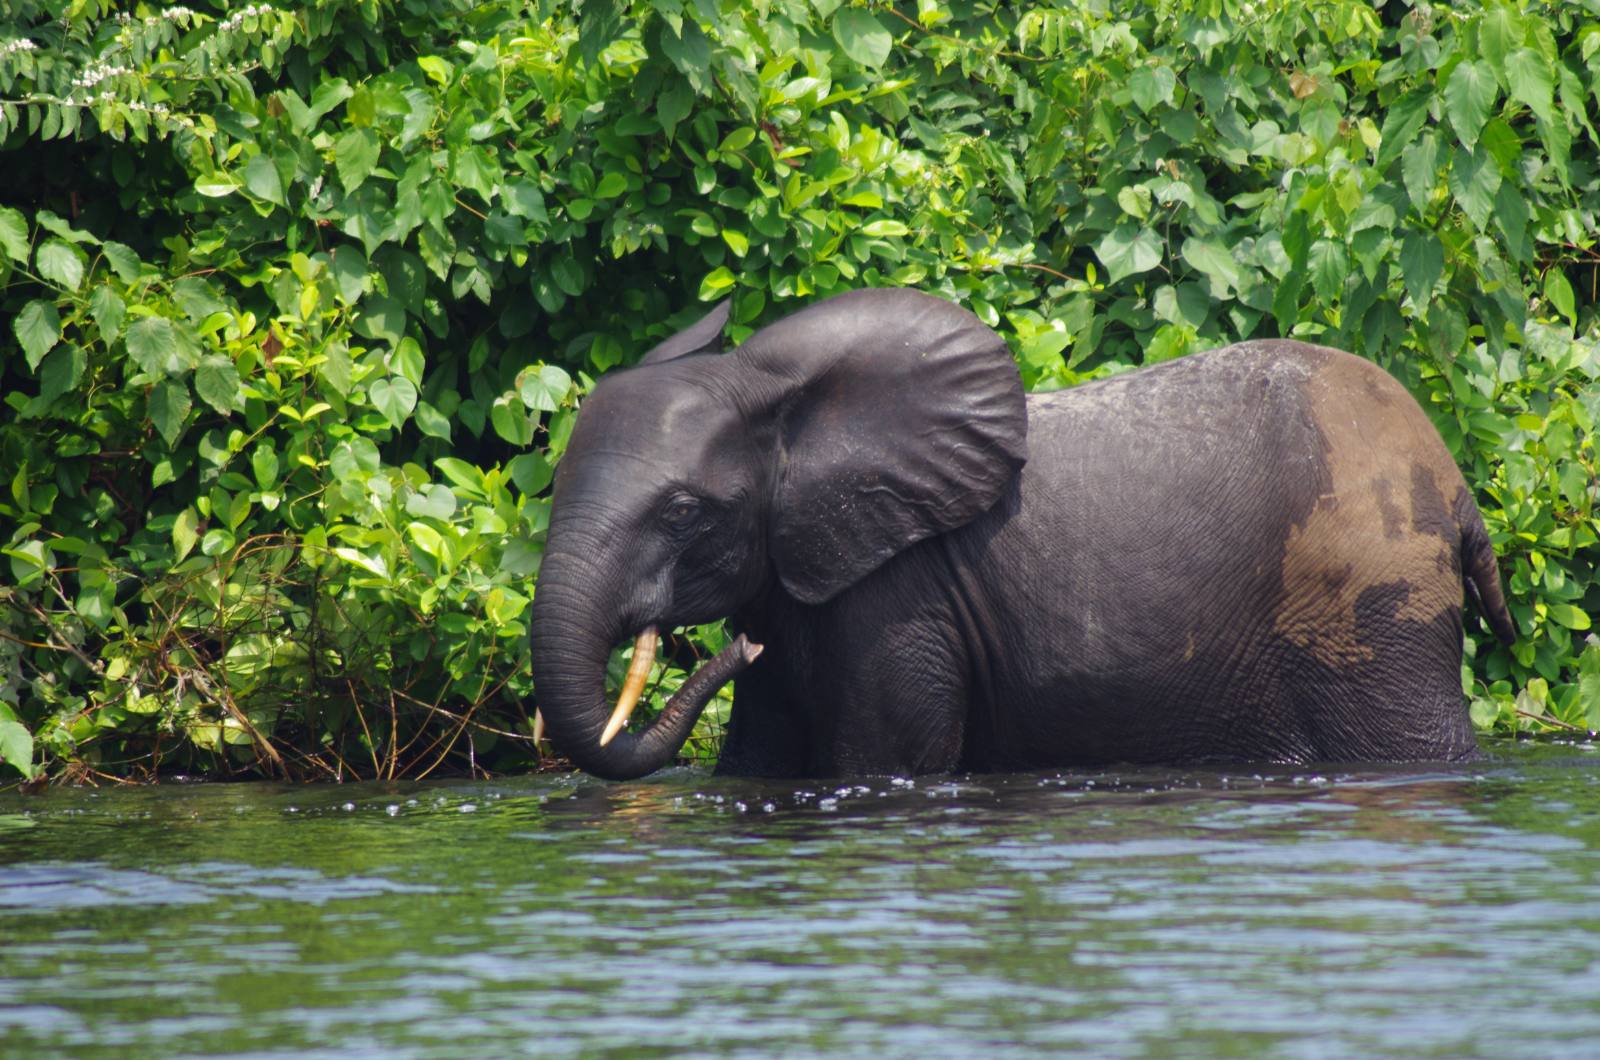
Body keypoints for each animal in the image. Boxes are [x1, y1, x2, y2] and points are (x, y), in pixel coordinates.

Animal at [528, 287, 1516, 780]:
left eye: (682, 513)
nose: (730, 649)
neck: (780, 403)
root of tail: (1455, 483)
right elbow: (756, 763)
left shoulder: (901, 600)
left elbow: (881, 761)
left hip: (1368, 603)